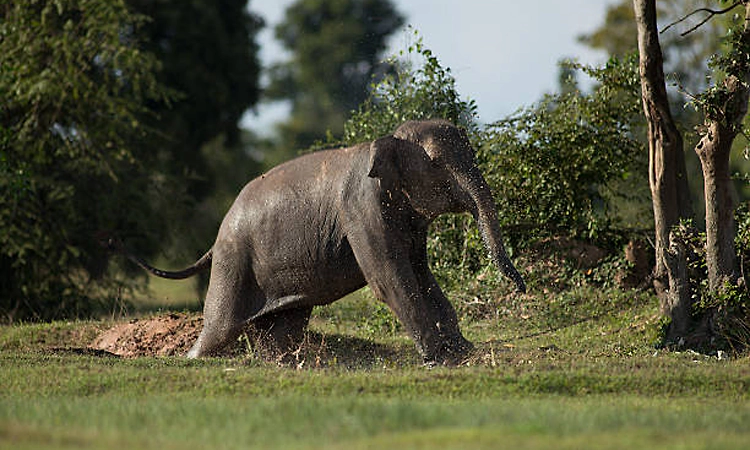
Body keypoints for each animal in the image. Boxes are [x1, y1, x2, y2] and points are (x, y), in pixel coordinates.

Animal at [119, 119, 526, 364]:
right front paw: (438, 359)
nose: (521, 287)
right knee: (219, 329)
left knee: (285, 322)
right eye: (439, 163)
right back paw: (192, 359)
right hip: (233, 261)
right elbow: (390, 279)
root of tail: (217, 236)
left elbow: (422, 275)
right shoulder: (362, 208)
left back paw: (283, 362)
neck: (386, 140)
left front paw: (463, 353)